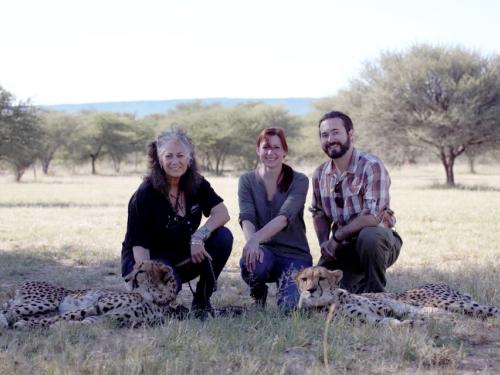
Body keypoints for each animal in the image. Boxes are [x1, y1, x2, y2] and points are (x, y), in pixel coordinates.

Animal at [0, 262, 188, 328]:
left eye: (141, 271)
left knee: (9, 311)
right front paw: (28, 325)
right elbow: (65, 316)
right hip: (46, 302)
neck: (152, 298)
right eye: (135, 267)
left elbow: (82, 323)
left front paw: (60, 327)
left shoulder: (106, 318)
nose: (126, 278)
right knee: (9, 311)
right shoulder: (97, 306)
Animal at [294, 268, 498, 326]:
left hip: (453, 302)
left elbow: (395, 311)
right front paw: (410, 324)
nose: (310, 290)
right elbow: (388, 322)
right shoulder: (368, 319)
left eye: (321, 278)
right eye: (304, 279)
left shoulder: (386, 307)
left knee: (492, 309)